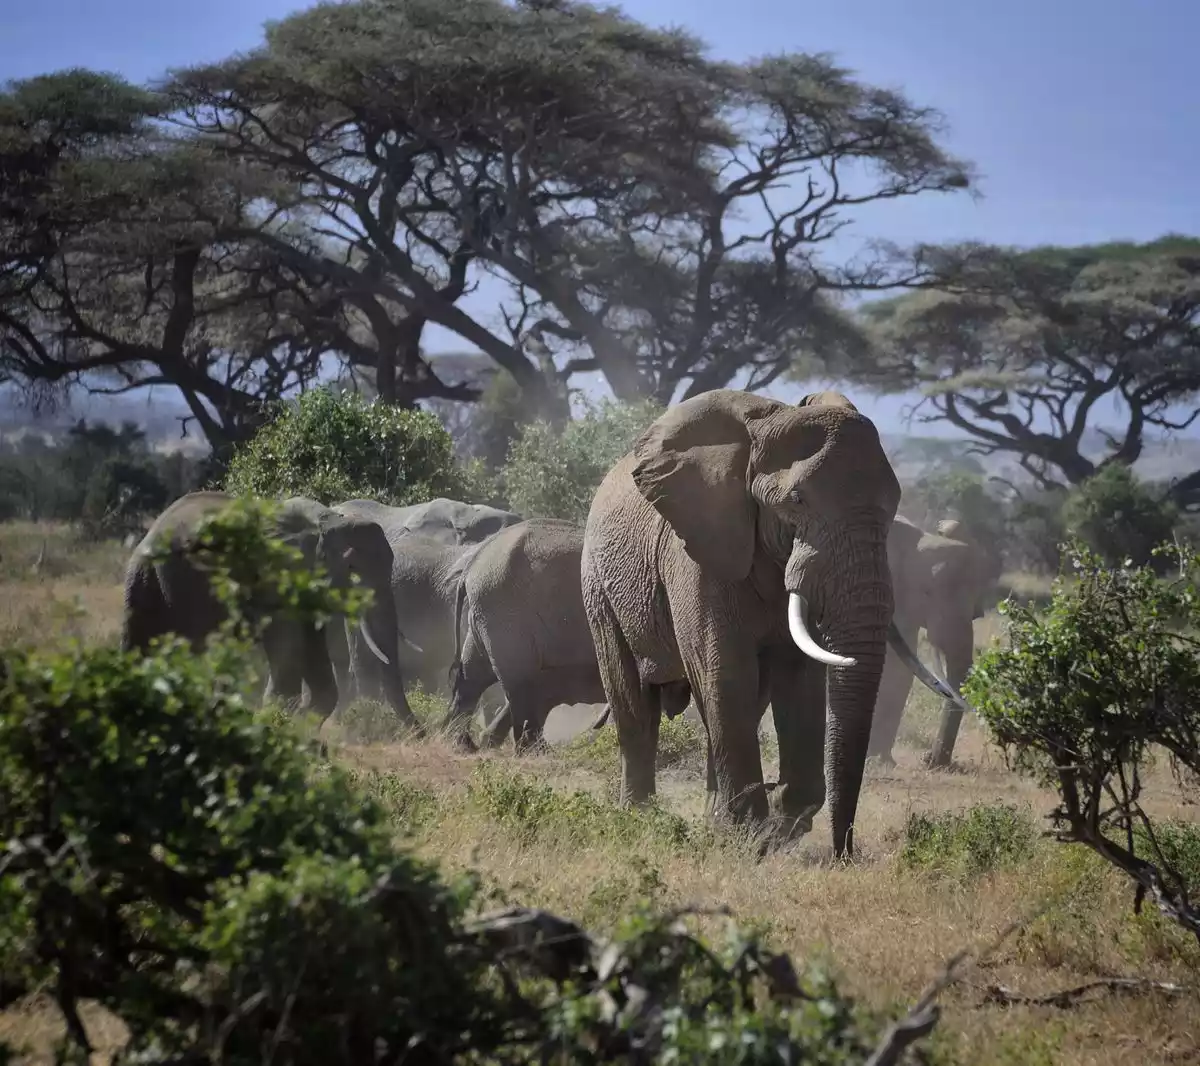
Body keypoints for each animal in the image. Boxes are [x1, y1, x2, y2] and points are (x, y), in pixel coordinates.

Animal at [121, 491, 419, 733]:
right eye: (352, 569)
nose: (422, 733)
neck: (328, 520)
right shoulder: (277, 575)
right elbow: (288, 655)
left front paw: (299, 728)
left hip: (147, 578)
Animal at [579, 388, 963, 857]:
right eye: (796, 501)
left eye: (893, 508)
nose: (844, 853)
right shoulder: (700, 550)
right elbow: (726, 671)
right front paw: (755, 830)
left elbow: (801, 678)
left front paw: (773, 827)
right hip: (598, 584)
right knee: (633, 699)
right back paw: (641, 817)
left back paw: (715, 823)